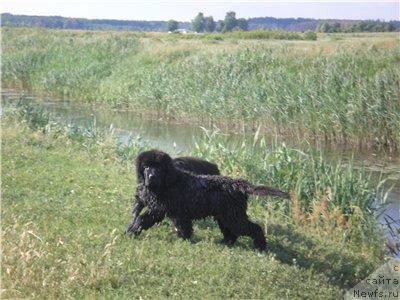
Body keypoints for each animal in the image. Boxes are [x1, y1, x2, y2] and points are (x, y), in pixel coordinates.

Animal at [126, 150, 290, 251]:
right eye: (146, 167)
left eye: (158, 168)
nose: (151, 176)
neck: (168, 183)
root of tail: (239, 184)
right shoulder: (163, 210)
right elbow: (144, 219)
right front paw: (131, 230)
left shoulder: (170, 210)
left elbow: (177, 225)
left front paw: (183, 240)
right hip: (226, 216)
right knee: (231, 232)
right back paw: (226, 243)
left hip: (233, 216)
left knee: (253, 228)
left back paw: (260, 246)